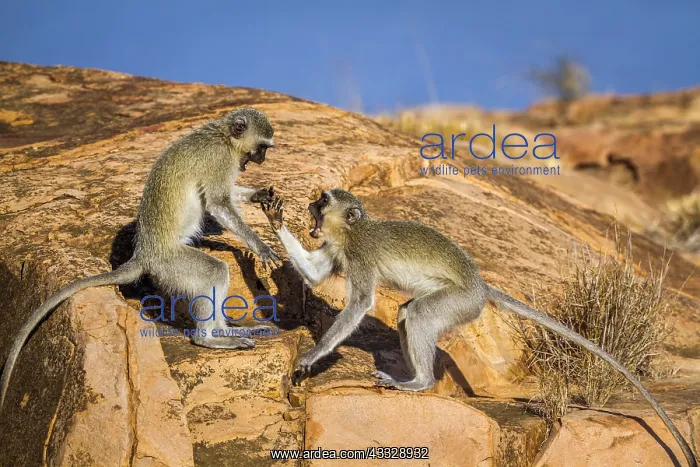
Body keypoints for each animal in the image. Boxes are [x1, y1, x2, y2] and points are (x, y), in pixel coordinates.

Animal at [0, 107, 283, 416]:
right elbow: (219, 204)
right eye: (261, 149)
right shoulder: (219, 161)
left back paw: (225, 330)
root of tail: (144, 254)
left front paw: (259, 195)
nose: (262, 161)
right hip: (170, 265)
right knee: (214, 272)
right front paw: (260, 246)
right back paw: (208, 338)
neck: (223, 136)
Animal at [260, 189, 697, 467]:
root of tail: (481, 287)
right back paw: (414, 376)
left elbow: (360, 304)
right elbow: (317, 275)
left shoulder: (360, 255)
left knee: (418, 316)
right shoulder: (335, 249)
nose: (310, 205)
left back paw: (418, 382)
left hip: (460, 303)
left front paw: (312, 356)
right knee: (407, 314)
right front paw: (274, 217)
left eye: (323, 201)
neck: (351, 232)